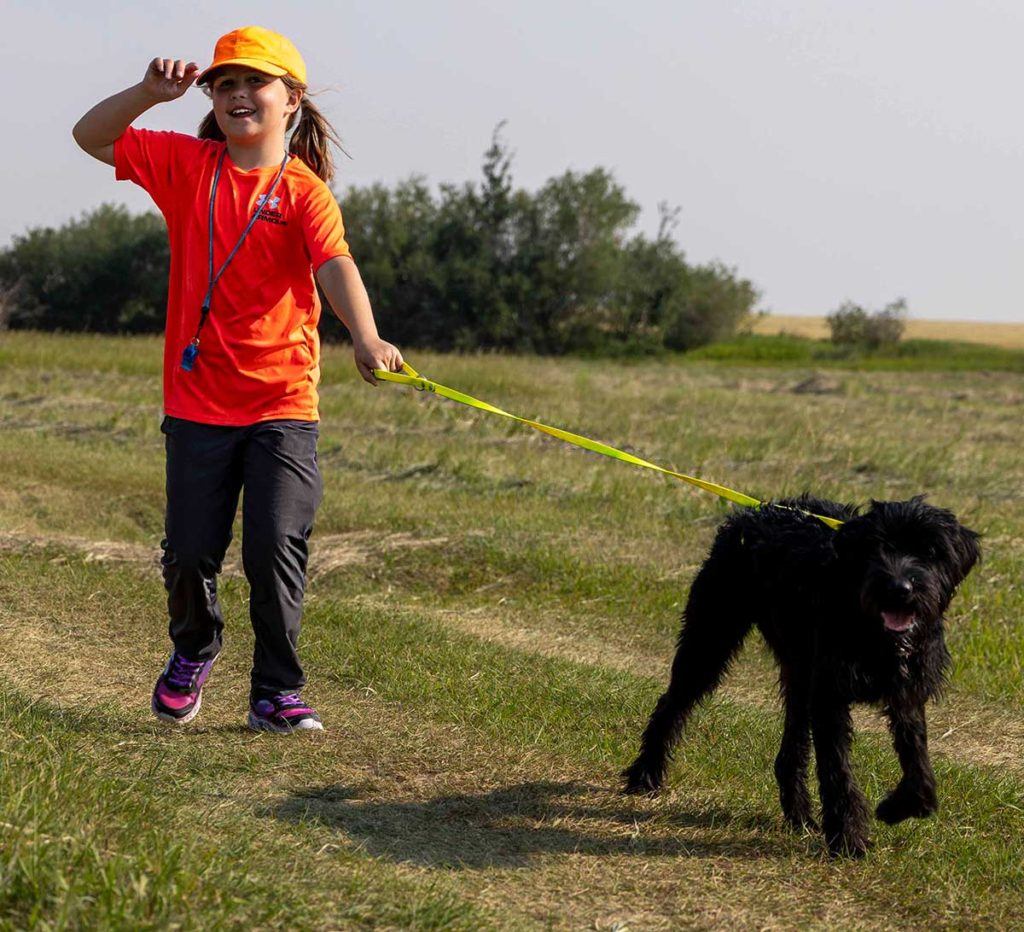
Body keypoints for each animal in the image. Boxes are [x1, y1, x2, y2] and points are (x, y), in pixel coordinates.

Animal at [618, 495, 978, 860]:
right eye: (877, 547)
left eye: (930, 550)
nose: (899, 588)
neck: (876, 635)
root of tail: (755, 511)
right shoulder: (830, 696)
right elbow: (837, 769)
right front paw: (847, 837)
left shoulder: (907, 693)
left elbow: (920, 767)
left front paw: (894, 808)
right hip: (710, 637)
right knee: (671, 705)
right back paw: (644, 775)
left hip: (798, 673)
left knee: (790, 747)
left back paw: (799, 814)